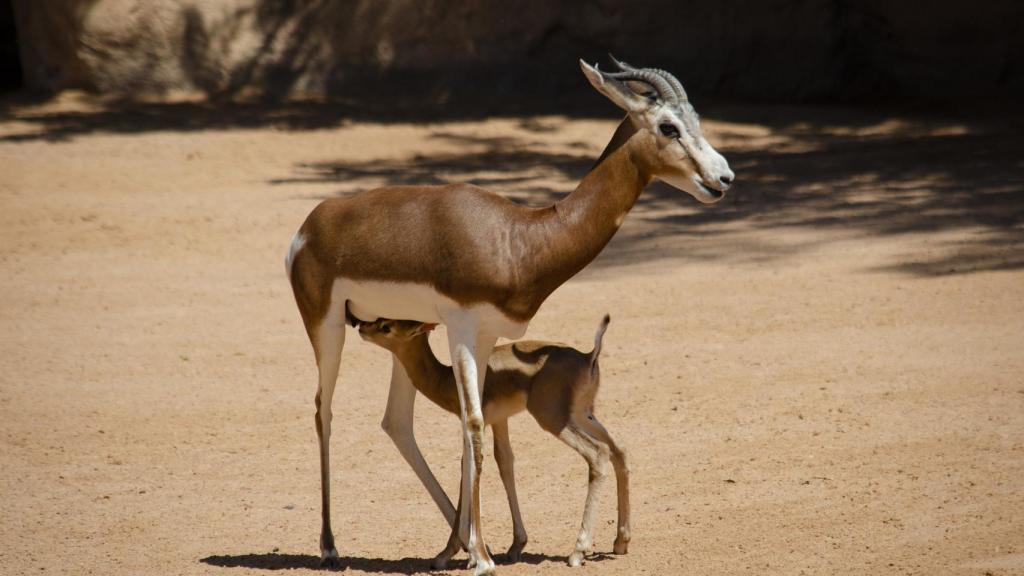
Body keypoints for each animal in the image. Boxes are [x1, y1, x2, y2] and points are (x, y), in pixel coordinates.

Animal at [360, 313, 630, 565]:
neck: (447, 379)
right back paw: (620, 541)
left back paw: (577, 552)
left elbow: (466, 467)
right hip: (582, 414)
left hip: (553, 419)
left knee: (598, 453)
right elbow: (504, 463)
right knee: (618, 450)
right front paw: (515, 545)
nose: (362, 327)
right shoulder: (500, 421)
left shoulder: (474, 425)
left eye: (386, 327)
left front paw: (449, 554)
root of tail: (588, 356)